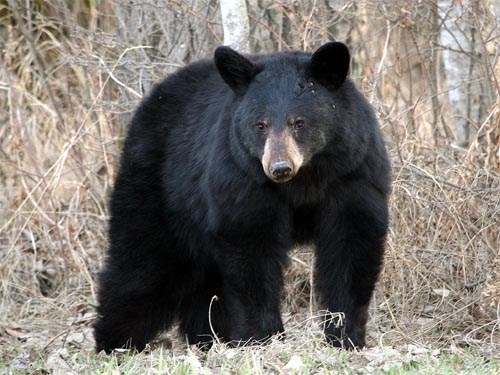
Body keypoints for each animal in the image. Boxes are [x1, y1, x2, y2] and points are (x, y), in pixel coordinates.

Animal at [93, 42, 390, 354]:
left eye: (299, 123)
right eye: (261, 125)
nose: (280, 167)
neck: (305, 179)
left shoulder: (353, 173)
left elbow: (351, 245)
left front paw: (346, 336)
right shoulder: (242, 179)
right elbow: (252, 249)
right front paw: (264, 338)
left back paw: (208, 338)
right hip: (159, 189)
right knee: (142, 264)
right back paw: (115, 342)